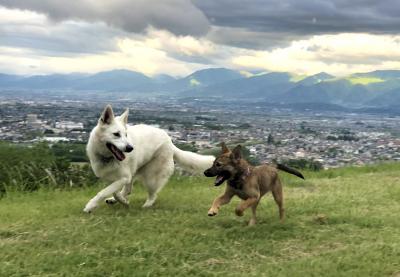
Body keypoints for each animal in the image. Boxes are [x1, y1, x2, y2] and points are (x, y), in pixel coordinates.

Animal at [83, 104, 214, 212]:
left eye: (126, 134)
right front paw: (121, 200)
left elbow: (103, 192)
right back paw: (118, 200)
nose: (130, 148)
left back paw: (147, 205)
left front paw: (90, 206)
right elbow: (113, 191)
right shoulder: (115, 178)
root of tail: (169, 141)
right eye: (116, 134)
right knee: (128, 189)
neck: (107, 158)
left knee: (153, 194)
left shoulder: (124, 177)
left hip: (151, 178)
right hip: (136, 171)